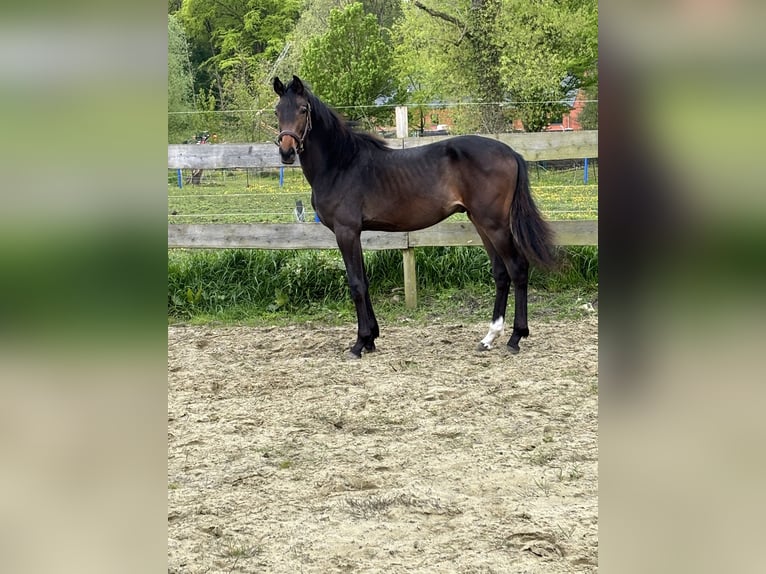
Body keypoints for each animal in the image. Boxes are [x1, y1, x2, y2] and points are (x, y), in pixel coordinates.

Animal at [272, 75, 556, 356]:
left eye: (303, 109)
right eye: (277, 111)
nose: (286, 151)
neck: (341, 164)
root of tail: (511, 153)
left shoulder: (346, 231)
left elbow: (356, 284)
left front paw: (359, 343)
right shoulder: (356, 233)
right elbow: (365, 281)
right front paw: (372, 339)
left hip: (495, 225)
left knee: (517, 268)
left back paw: (516, 337)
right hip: (481, 223)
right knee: (501, 273)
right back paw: (489, 337)